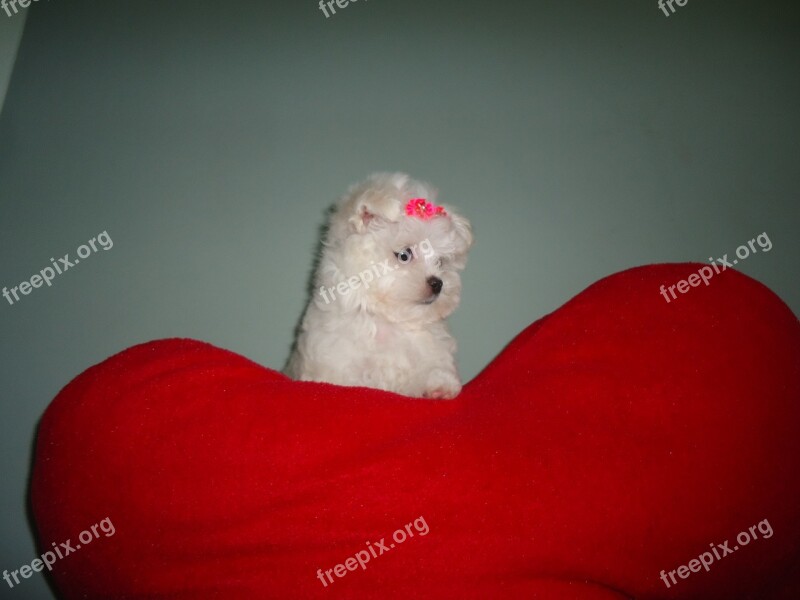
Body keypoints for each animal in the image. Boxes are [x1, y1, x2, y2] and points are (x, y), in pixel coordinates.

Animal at [286, 172, 472, 398]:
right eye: (404, 255)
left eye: (441, 262)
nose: (438, 284)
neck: (386, 320)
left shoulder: (430, 352)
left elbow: (433, 368)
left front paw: (439, 386)